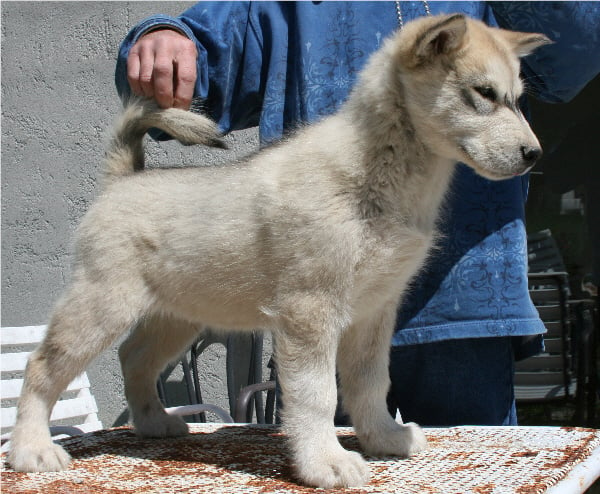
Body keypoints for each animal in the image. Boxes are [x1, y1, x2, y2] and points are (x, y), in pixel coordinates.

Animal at [8, 14, 548, 486]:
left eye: (519, 100)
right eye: (483, 94)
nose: (534, 155)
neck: (383, 173)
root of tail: (122, 180)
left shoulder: (374, 312)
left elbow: (371, 383)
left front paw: (384, 437)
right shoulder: (310, 312)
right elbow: (317, 396)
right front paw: (325, 462)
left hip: (176, 317)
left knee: (134, 357)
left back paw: (153, 422)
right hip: (102, 306)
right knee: (41, 367)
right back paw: (30, 449)